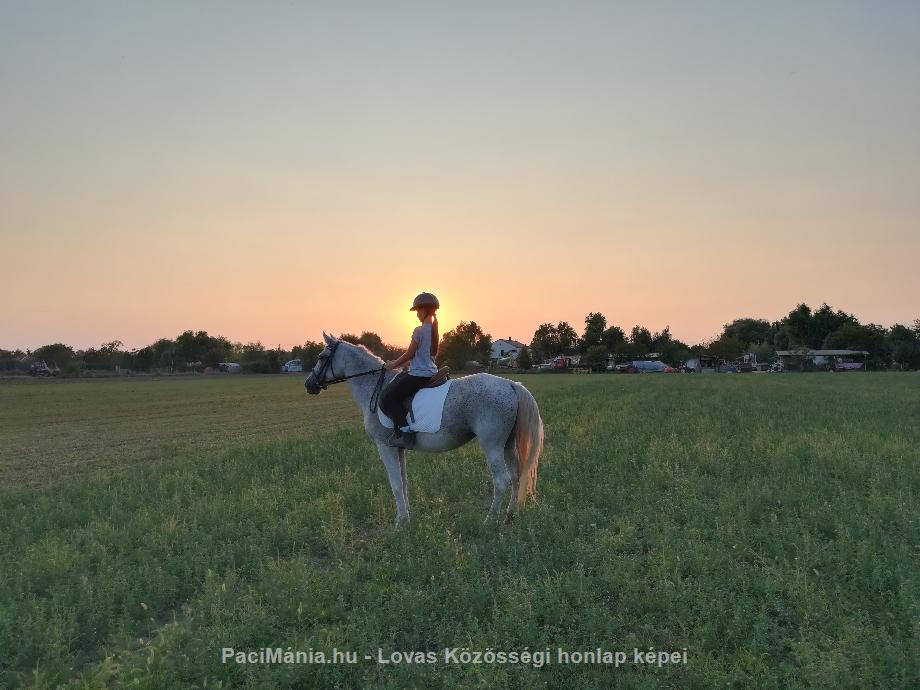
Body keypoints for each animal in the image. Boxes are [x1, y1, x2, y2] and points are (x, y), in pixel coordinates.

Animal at [306, 334, 544, 528]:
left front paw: (400, 523)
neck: (375, 387)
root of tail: (511, 385)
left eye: (321, 357)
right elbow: (403, 483)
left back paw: (490, 521)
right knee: (516, 476)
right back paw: (510, 516)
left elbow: (395, 484)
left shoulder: (385, 447)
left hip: (492, 446)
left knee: (501, 480)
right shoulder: (398, 448)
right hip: (507, 444)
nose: (309, 385)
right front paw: (407, 518)